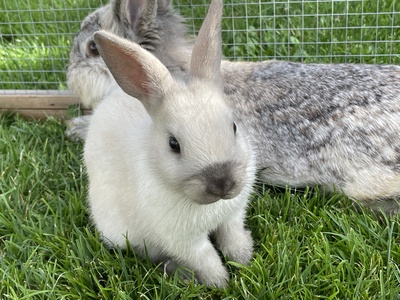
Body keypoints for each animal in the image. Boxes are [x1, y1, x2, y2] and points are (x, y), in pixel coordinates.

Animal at [84, 0, 256, 288]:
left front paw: (244, 259)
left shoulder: (232, 217)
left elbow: (233, 238)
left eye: (234, 127)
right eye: (173, 144)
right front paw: (221, 282)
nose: (222, 183)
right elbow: (206, 259)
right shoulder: (184, 241)